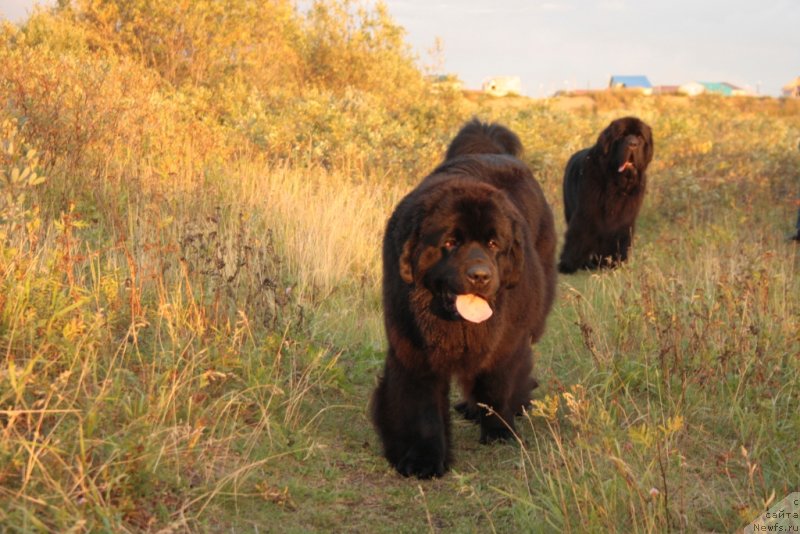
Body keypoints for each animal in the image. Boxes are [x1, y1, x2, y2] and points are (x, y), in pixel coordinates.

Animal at [370, 119, 552, 480]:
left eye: (494, 244)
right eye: (451, 242)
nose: (480, 276)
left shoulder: (506, 340)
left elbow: (498, 383)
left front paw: (499, 432)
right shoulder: (413, 347)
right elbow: (421, 406)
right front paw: (422, 460)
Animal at [560, 115, 652, 274]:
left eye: (640, 136)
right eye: (622, 135)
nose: (633, 144)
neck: (615, 184)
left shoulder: (624, 217)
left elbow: (618, 238)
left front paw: (614, 263)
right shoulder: (586, 213)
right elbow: (578, 236)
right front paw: (569, 265)